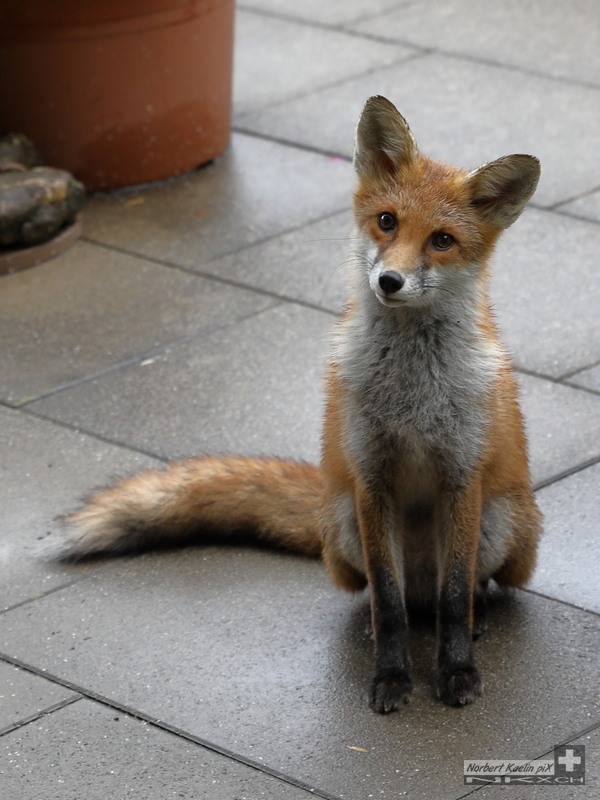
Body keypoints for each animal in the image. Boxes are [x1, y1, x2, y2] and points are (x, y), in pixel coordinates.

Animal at [51, 97, 540, 716]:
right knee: (395, 599)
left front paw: (455, 670)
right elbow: (387, 601)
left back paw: (474, 616)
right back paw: (377, 627)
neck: (410, 396)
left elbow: (454, 599)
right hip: (346, 520)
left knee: (460, 592)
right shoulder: (371, 478)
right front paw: (390, 676)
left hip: (501, 521)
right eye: (387, 222)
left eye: (442, 240)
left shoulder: (462, 476)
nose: (389, 280)